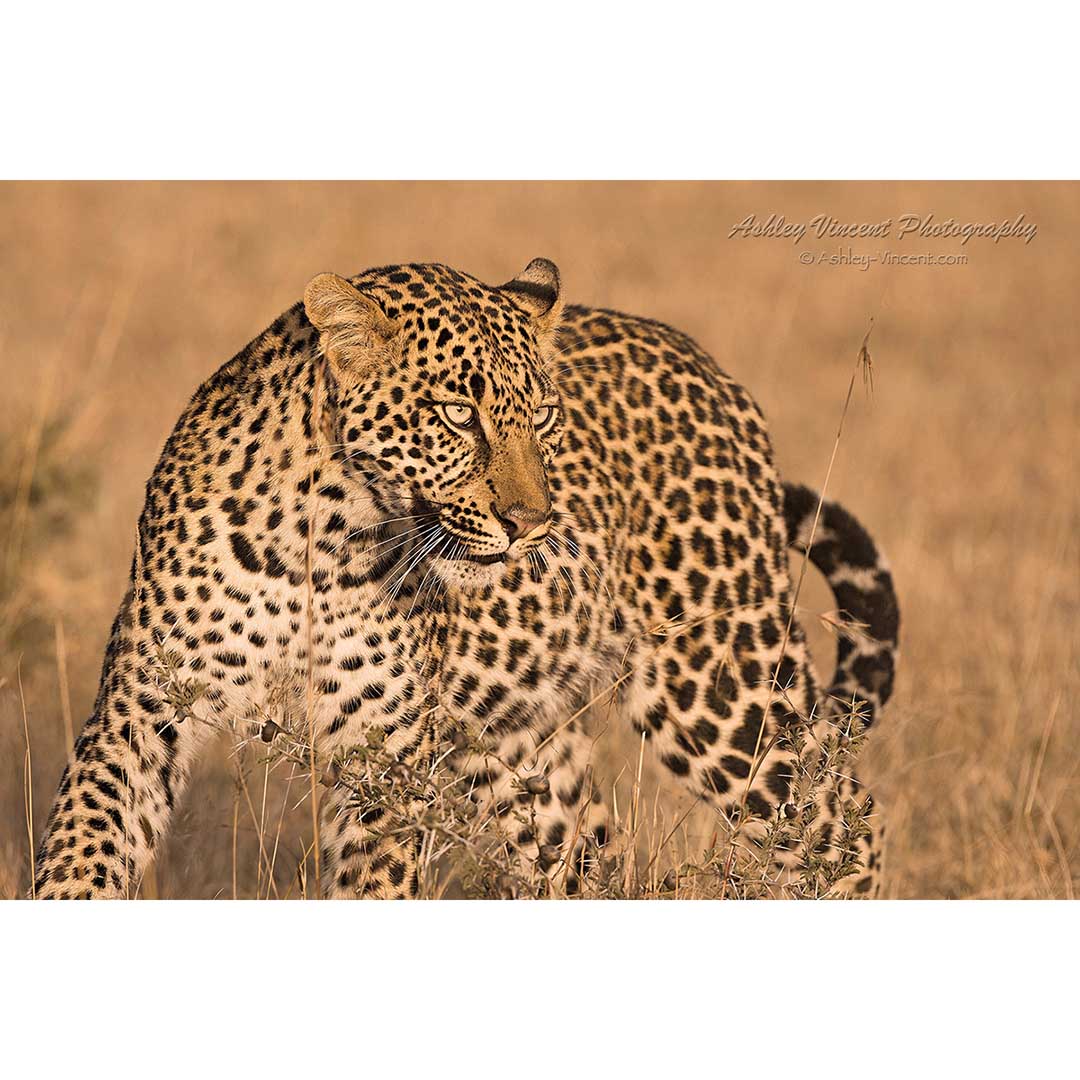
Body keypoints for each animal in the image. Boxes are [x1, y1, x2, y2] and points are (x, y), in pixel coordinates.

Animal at [32, 258, 899, 899]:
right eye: (456, 414)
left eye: (543, 417)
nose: (534, 522)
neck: (319, 536)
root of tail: (714, 371)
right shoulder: (139, 711)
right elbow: (81, 849)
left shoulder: (382, 751)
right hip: (518, 750)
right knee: (584, 861)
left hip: (722, 687)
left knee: (844, 823)